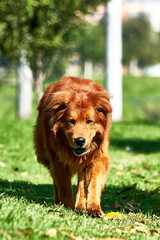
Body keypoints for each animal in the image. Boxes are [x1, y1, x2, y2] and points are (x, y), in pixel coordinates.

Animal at [34, 77, 112, 218]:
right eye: (71, 121)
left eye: (89, 121)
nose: (80, 140)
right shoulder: (58, 160)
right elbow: (64, 186)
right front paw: (68, 207)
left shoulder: (98, 157)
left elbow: (93, 184)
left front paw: (93, 208)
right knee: (56, 182)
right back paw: (59, 202)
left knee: (81, 183)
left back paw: (80, 206)